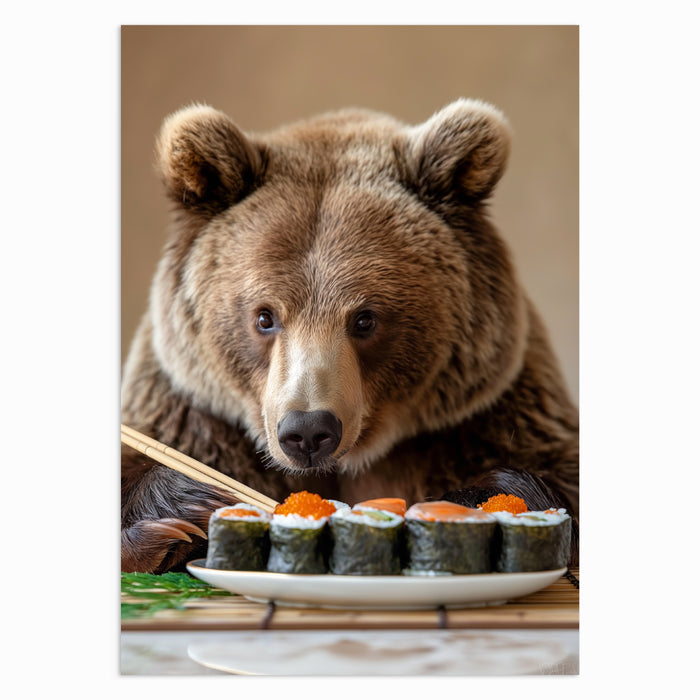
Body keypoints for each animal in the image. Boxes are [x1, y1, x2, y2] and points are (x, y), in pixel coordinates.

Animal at [121, 98, 579, 574]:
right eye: (265, 317)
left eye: (364, 320)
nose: (307, 430)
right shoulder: (192, 410)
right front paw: (188, 503)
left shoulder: (484, 413)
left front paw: (475, 501)